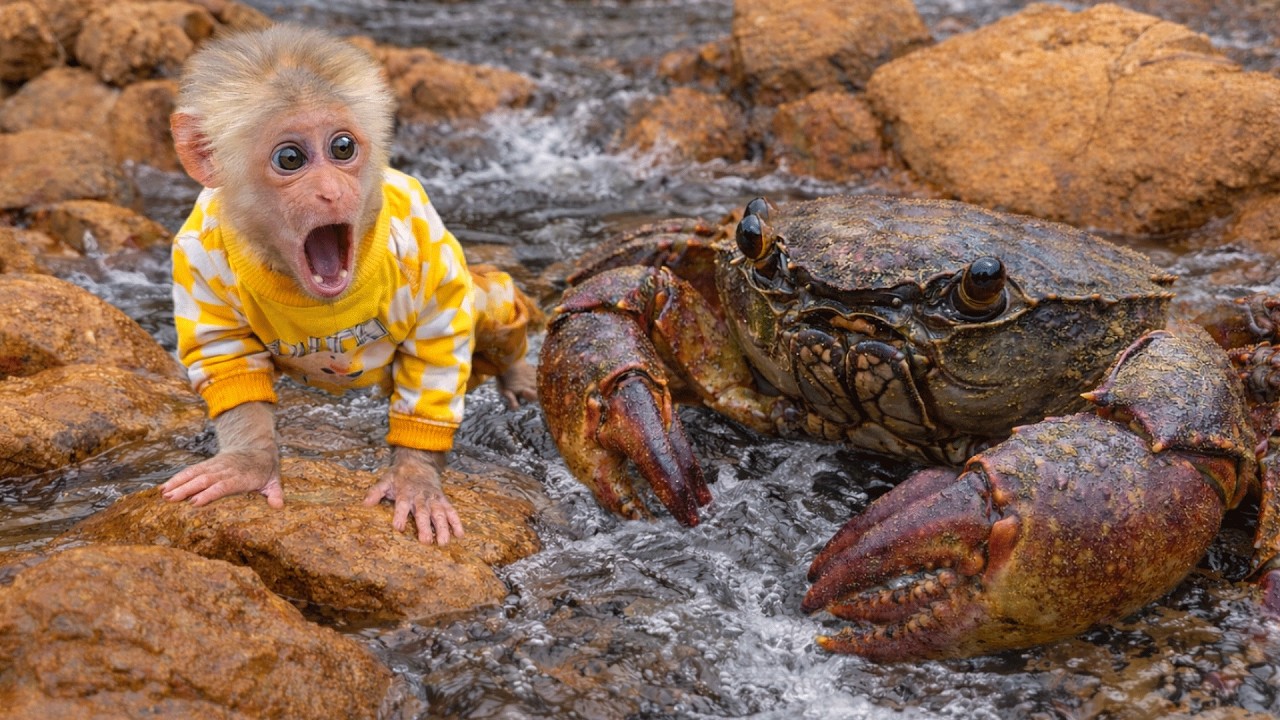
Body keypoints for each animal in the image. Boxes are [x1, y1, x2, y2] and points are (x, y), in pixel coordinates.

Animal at [162, 24, 539, 545]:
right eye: (290, 158)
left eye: (343, 148)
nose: (332, 191)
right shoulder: (196, 254)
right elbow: (223, 353)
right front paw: (247, 462)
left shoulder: (422, 256)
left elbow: (437, 347)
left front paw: (414, 477)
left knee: (491, 306)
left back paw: (517, 367)